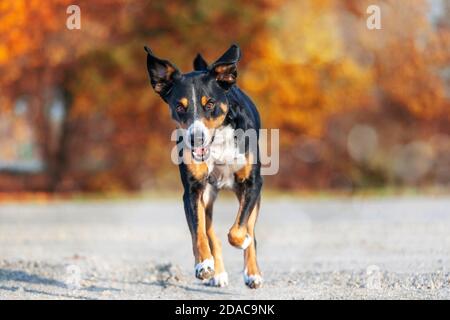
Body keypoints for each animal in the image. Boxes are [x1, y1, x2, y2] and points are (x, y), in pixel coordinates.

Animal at [144, 44, 264, 288]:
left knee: (248, 228)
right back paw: (217, 272)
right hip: (208, 196)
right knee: (210, 233)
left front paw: (243, 243)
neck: (218, 143)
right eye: (179, 107)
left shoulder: (253, 184)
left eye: (209, 103)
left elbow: (239, 230)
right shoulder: (193, 191)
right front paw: (204, 265)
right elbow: (198, 233)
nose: (195, 138)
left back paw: (253, 273)